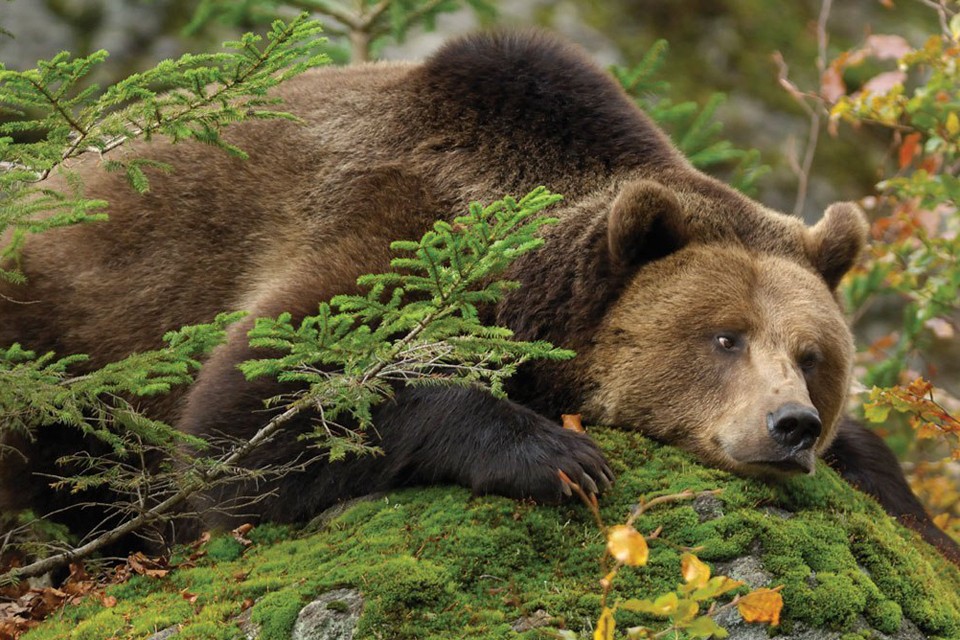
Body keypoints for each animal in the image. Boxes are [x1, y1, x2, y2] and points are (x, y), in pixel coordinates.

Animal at [0, 30, 956, 564]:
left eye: (812, 355)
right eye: (723, 337)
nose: (790, 424)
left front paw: (915, 513)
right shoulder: (398, 232)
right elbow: (252, 417)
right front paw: (560, 456)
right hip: (58, 337)